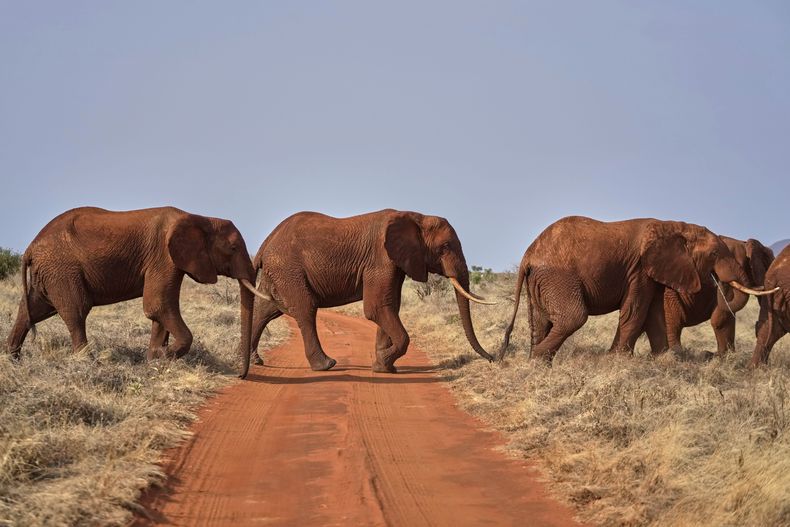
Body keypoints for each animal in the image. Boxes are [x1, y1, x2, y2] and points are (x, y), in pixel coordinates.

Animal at [6, 207, 260, 367]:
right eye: (233, 248)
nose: (242, 375)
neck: (199, 217)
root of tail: (31, 247)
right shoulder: (163, 256)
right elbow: (157, 306)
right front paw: (165, 357)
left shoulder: (170, 262)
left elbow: (160, 309)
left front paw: (154, 360)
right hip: (62, 270)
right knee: (77, 311)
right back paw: (89, 363)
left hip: (50, 273)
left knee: (32, 310)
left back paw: (12, 360)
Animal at [241, 209, 496, 379]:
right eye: (445, 247)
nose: (493, 358)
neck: (416, 216)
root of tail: (267, 241)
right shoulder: (380, 259)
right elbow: (376, 308)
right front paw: (383, 363)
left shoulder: (395, 262)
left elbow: (390, 306)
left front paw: (384, 366)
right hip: (288, 268)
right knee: (305, 309)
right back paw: (326, 365)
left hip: (278, 271)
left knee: (266, 310)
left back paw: (255, 360)